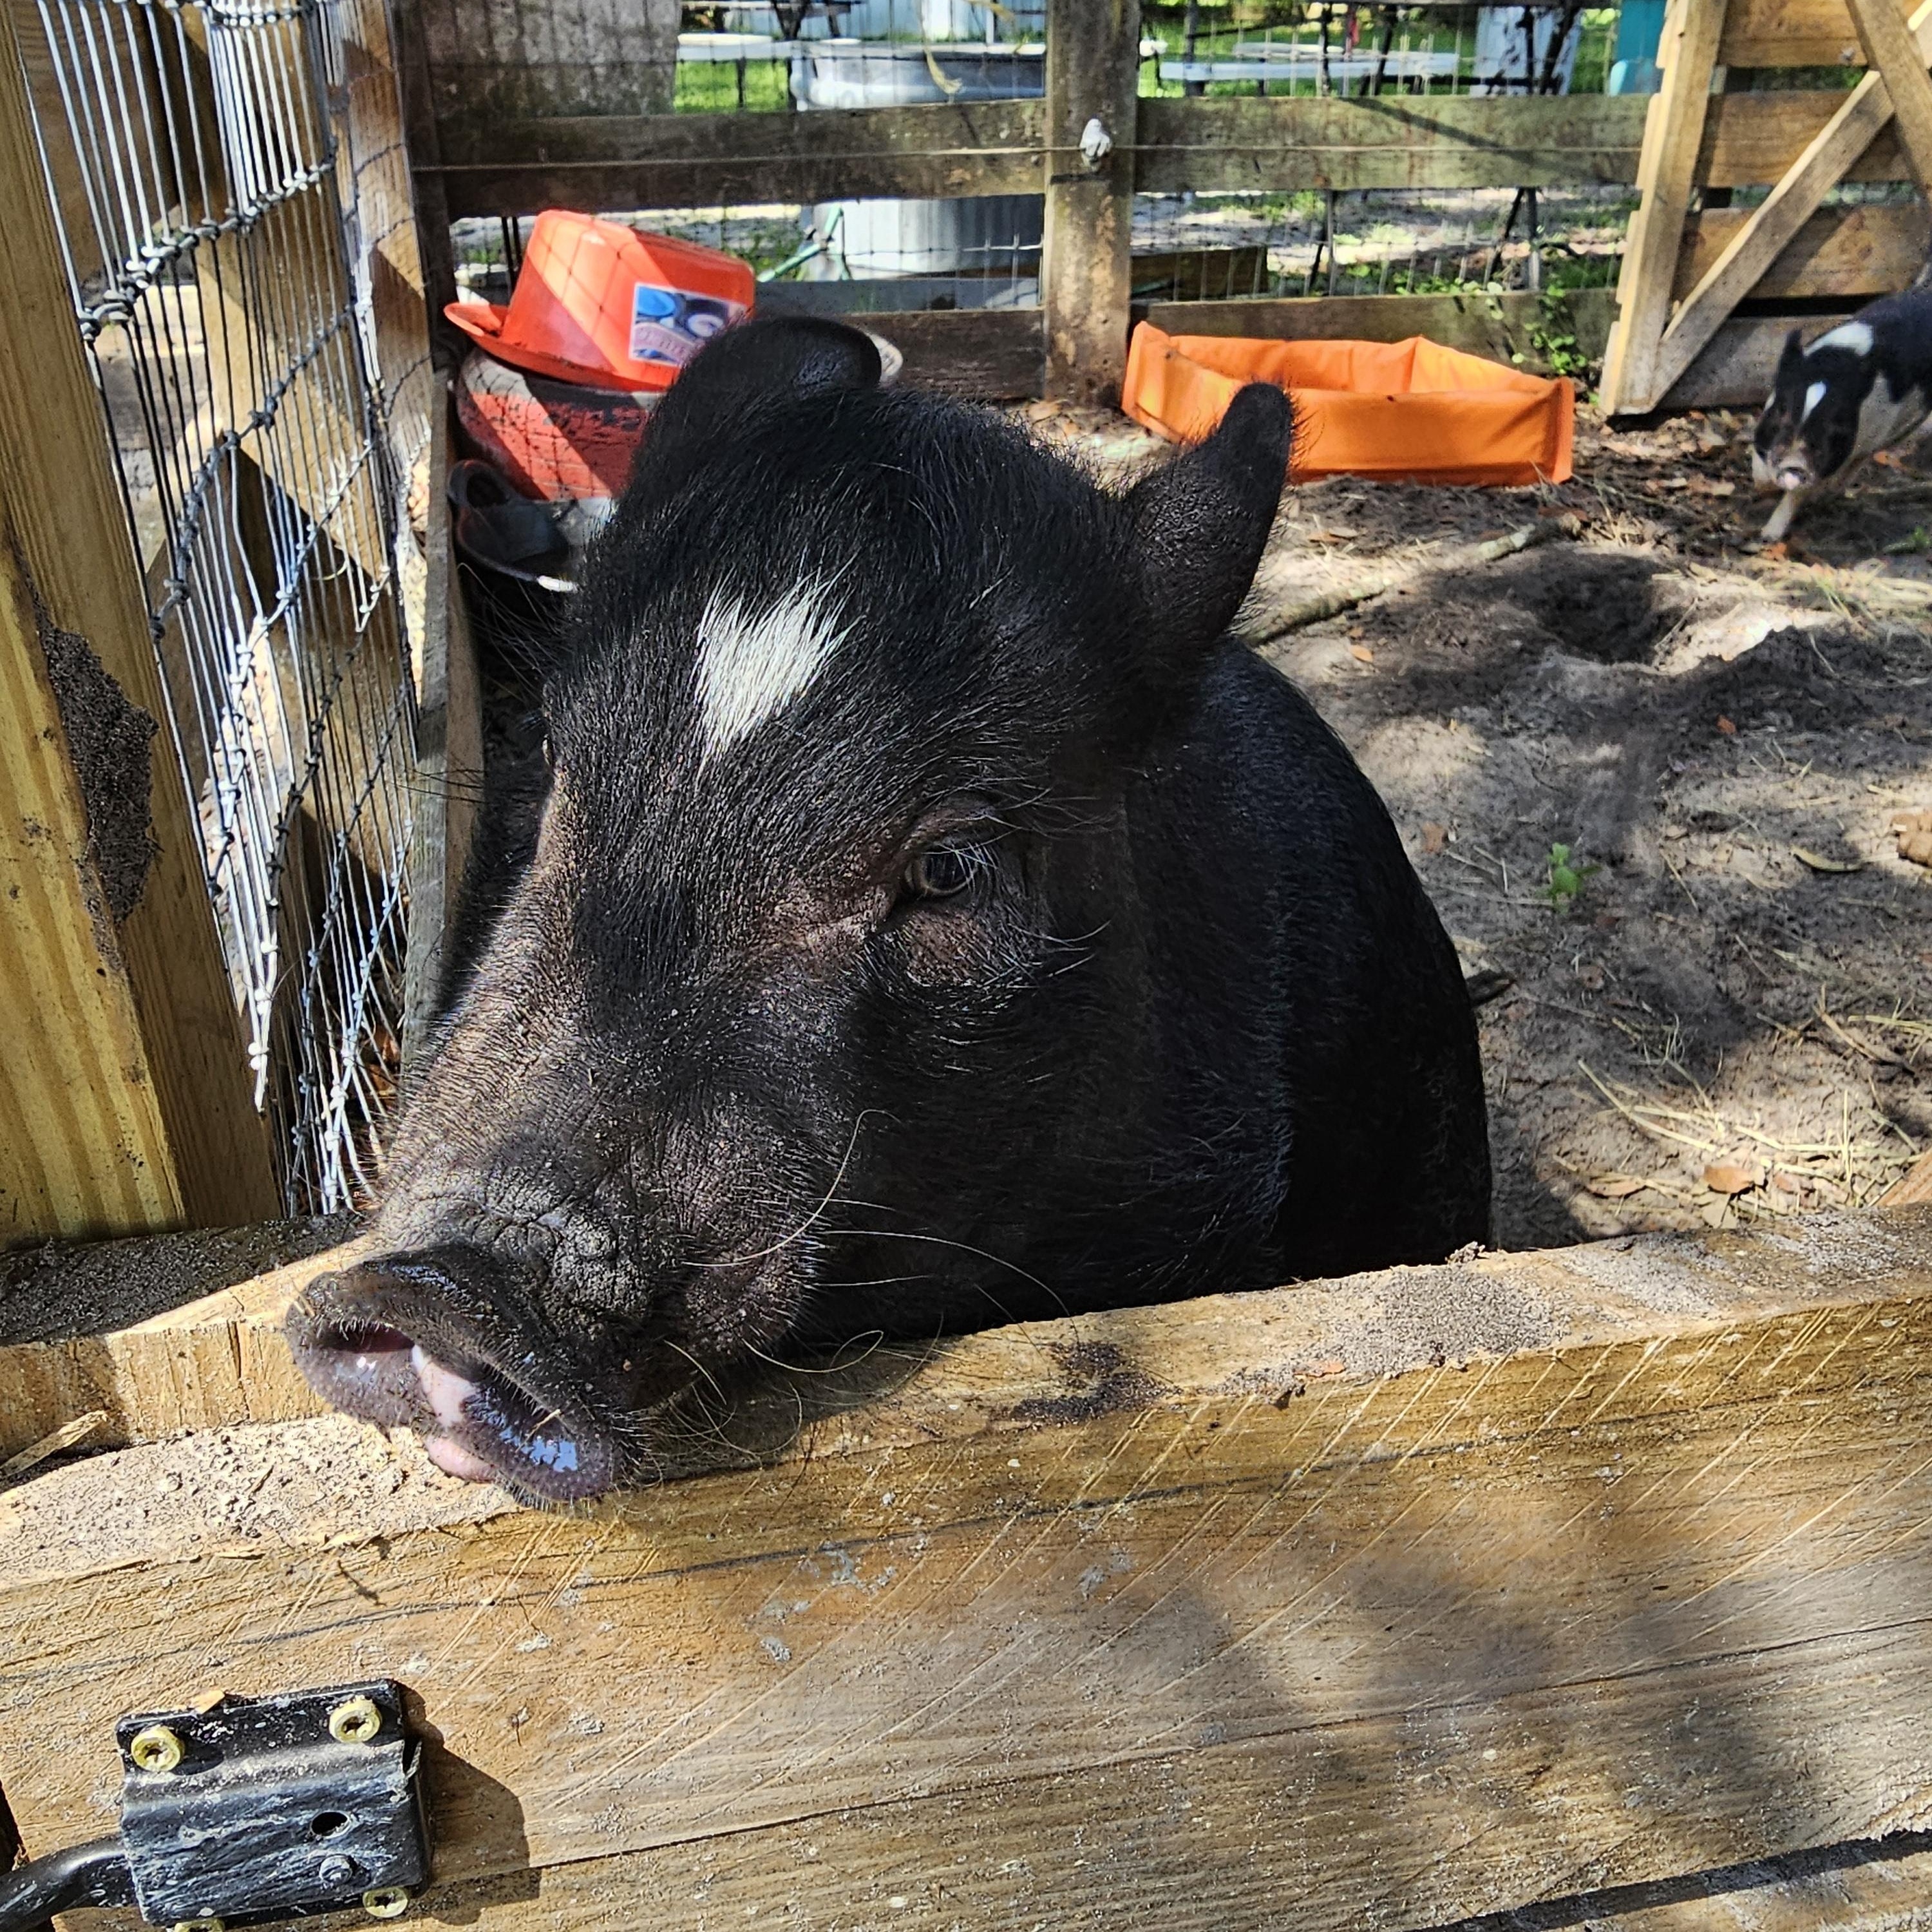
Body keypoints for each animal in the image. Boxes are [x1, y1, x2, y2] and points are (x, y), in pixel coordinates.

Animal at [1752, 281, 1932, 543]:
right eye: (1782, 410)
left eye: (1835, 426)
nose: (1794, 465)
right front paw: (1763, 488)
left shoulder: (1835, 455)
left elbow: (1800, 494)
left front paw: (1768, 536)